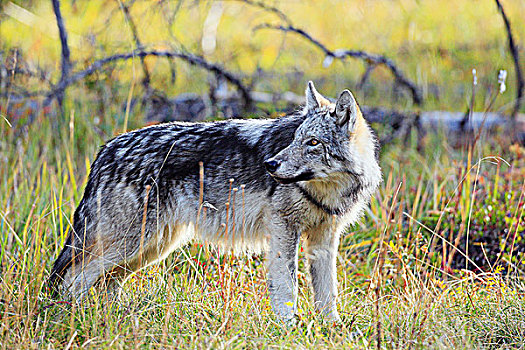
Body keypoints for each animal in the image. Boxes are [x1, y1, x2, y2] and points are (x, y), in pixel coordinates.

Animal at [47, 80, 380, 322]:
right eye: (296, 139)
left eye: (312, 143)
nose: (270, 165)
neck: (328, 190)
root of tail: (105, 150)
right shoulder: (283, 229)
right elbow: (287, 288)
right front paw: (289, 329)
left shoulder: (324, 239)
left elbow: (327, 293)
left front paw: (331, 329)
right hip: (128, 246)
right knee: (72, 281)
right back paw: (71, 319)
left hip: (148, 249)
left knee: (104, 285)